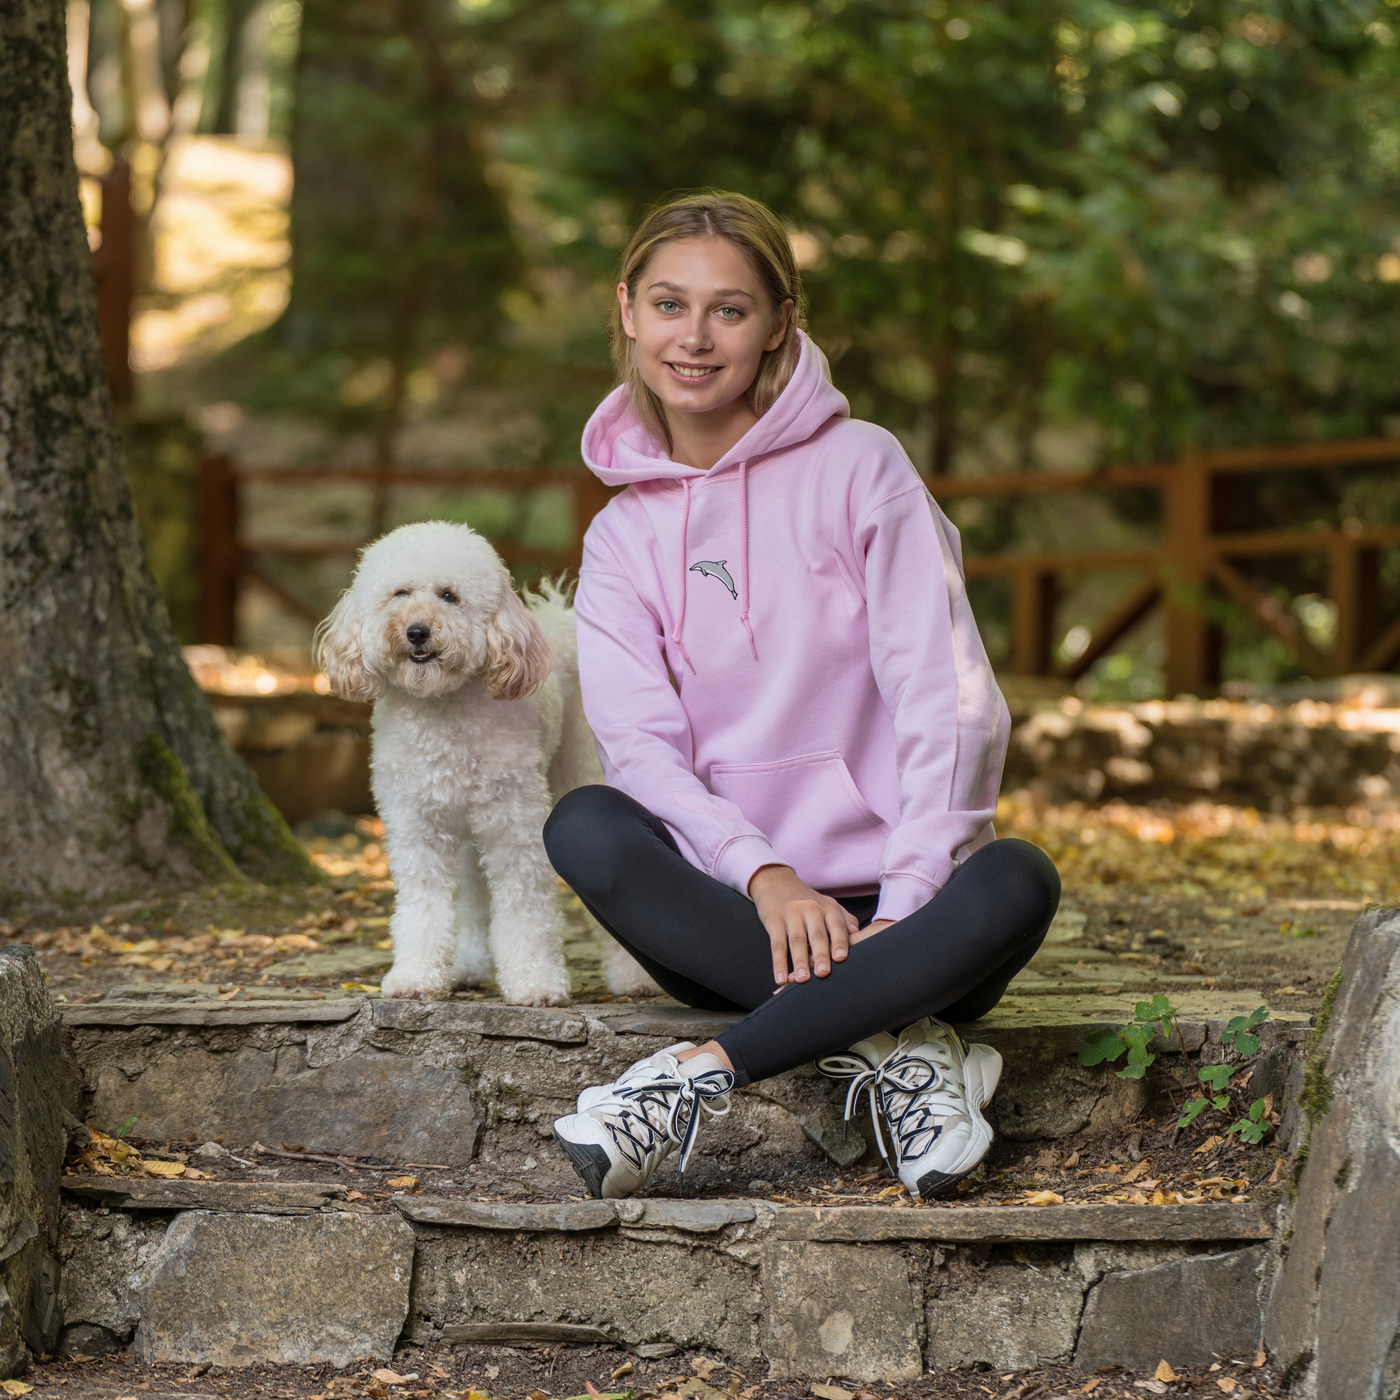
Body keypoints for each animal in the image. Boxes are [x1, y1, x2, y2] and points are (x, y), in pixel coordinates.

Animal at [317, 518, 660, 1008]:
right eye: (400, 593)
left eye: (449, 595)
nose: (417, 631)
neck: (443, 711)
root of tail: (557, 619)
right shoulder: (418, 830)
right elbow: (423, 907)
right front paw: (416, 976)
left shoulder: (515, 827)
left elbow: (524, 907)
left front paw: (535, 981)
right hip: (465, 835)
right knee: (475, 899)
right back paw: (469, 966)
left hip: (574, 768)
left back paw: (633, 977)